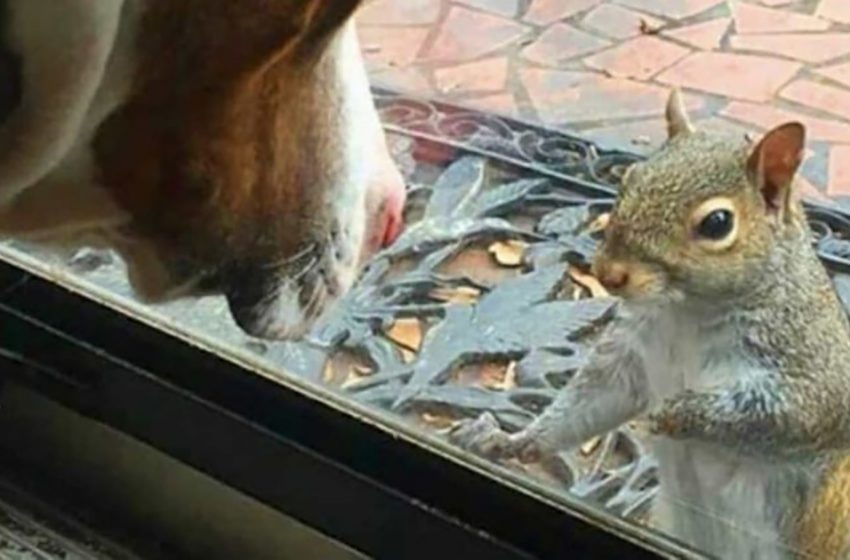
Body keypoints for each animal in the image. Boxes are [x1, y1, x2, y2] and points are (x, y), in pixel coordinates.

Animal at [450, 88, 850, 560]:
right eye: (629, 178)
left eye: (718, 223)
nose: (608, 274)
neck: (688, 312)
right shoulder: (632, 353)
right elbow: (592, 400)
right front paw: (516, 441)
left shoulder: (810, 360)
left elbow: (794, 413)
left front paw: (673, 413)